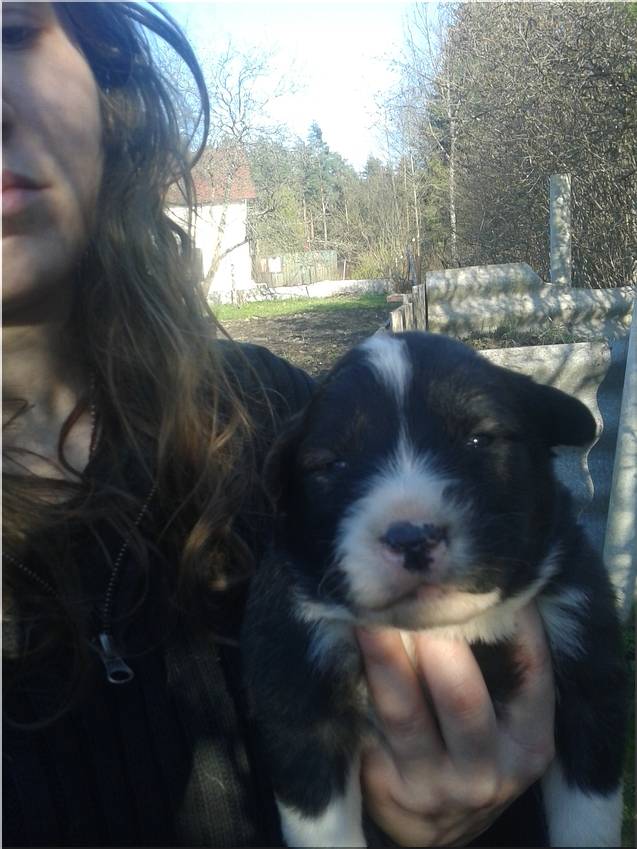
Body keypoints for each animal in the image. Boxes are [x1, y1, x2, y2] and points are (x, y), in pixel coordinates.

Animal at [242, 331, 627, 847]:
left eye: (479, 439)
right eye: (332, 464)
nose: (411, 537)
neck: (436, 629)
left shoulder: (587, 653)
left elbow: (588, 818)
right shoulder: (299, 690)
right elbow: (323, 824)